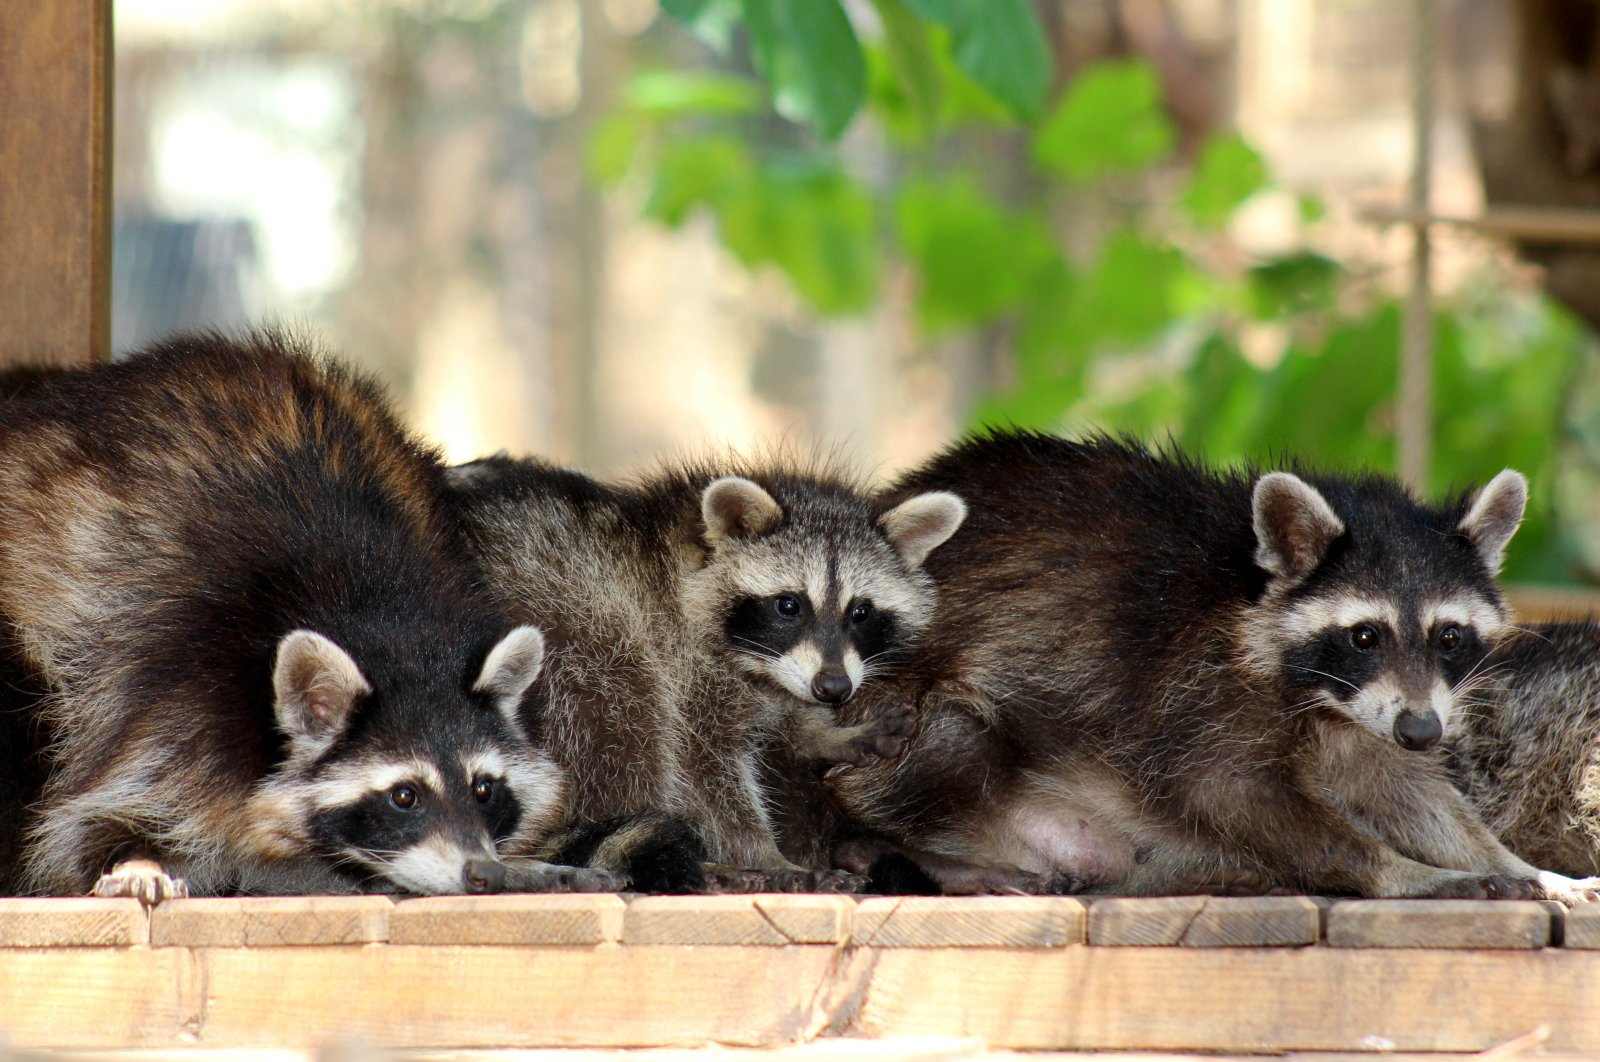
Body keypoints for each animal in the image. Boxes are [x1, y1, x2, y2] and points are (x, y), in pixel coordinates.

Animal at [0, 335, 608, 902]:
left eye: (484, 788)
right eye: (404, 796)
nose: (481, 873)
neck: (382, 615)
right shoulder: (177, 702)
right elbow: (87, 824)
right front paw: (137, 859)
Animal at [444, 457, 960, 889]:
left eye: (861, 612)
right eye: (788, 605)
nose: (834, 688)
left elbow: (785, 718)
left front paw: (828, 734)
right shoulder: (684, 665)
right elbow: (704, 771)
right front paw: (764, 855)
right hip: (578, 635)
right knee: (625, 715)